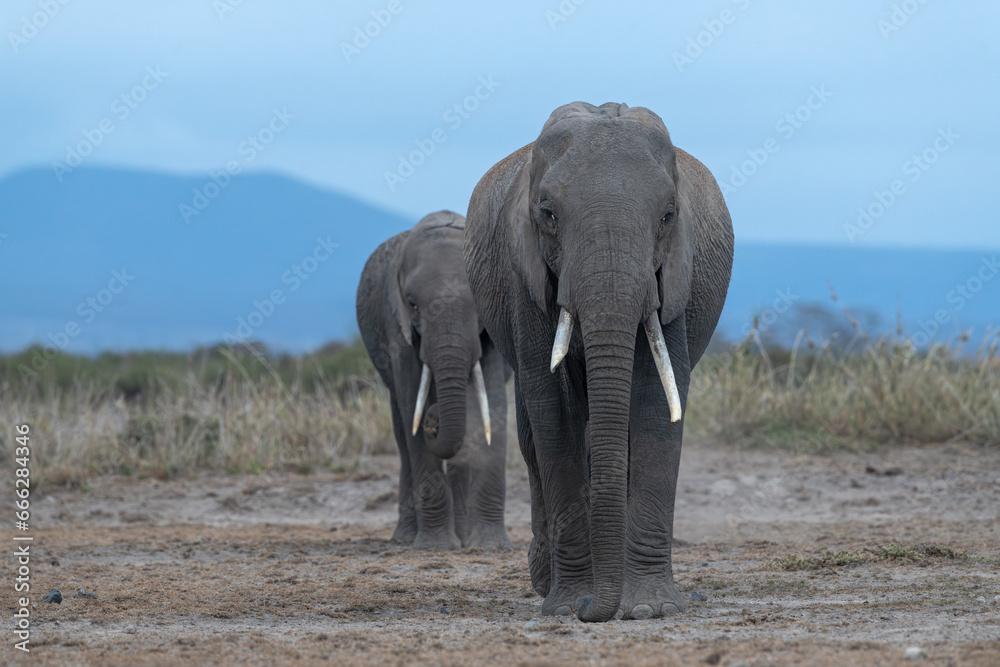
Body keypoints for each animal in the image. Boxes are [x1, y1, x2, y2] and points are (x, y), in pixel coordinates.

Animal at [357, 210, 512, 550]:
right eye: (413, 304)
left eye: (479, 301)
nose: (434, 418)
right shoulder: (396, 323)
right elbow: (411, 403)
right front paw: (435, 546)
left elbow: (493, 402)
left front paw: (490, 546)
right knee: (402, 433)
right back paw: (406, 538)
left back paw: (464, 535)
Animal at [463, 102, 734, 621]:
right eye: (548, 215)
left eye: (668, 216)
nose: (594, 609)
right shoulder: (524, 277)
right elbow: (554, 414)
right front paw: (569, 605)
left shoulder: (674, 279)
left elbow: (655, 402)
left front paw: (648, 608)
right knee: (534, 438)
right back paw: (547, 583)